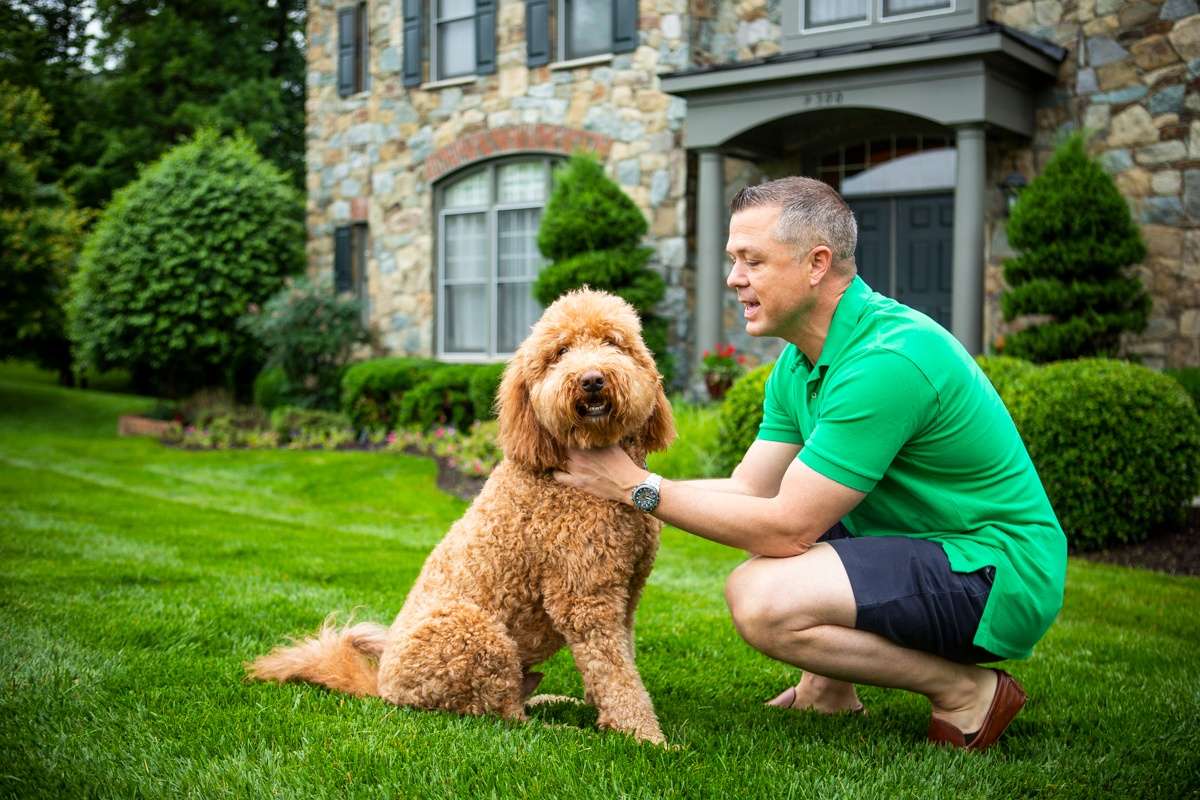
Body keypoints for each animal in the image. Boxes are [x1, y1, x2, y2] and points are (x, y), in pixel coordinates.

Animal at [246, 287, 676, 743]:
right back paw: (563, 729)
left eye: (613, 343)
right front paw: (645, 737)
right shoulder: (583, 598)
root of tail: (382, 686)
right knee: (503, 714)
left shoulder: (626, 591)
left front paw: (607, 716)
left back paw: (557, 703)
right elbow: (616, 673)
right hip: (474, 632)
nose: (592, 379)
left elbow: (616, 661)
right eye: (559, 353)